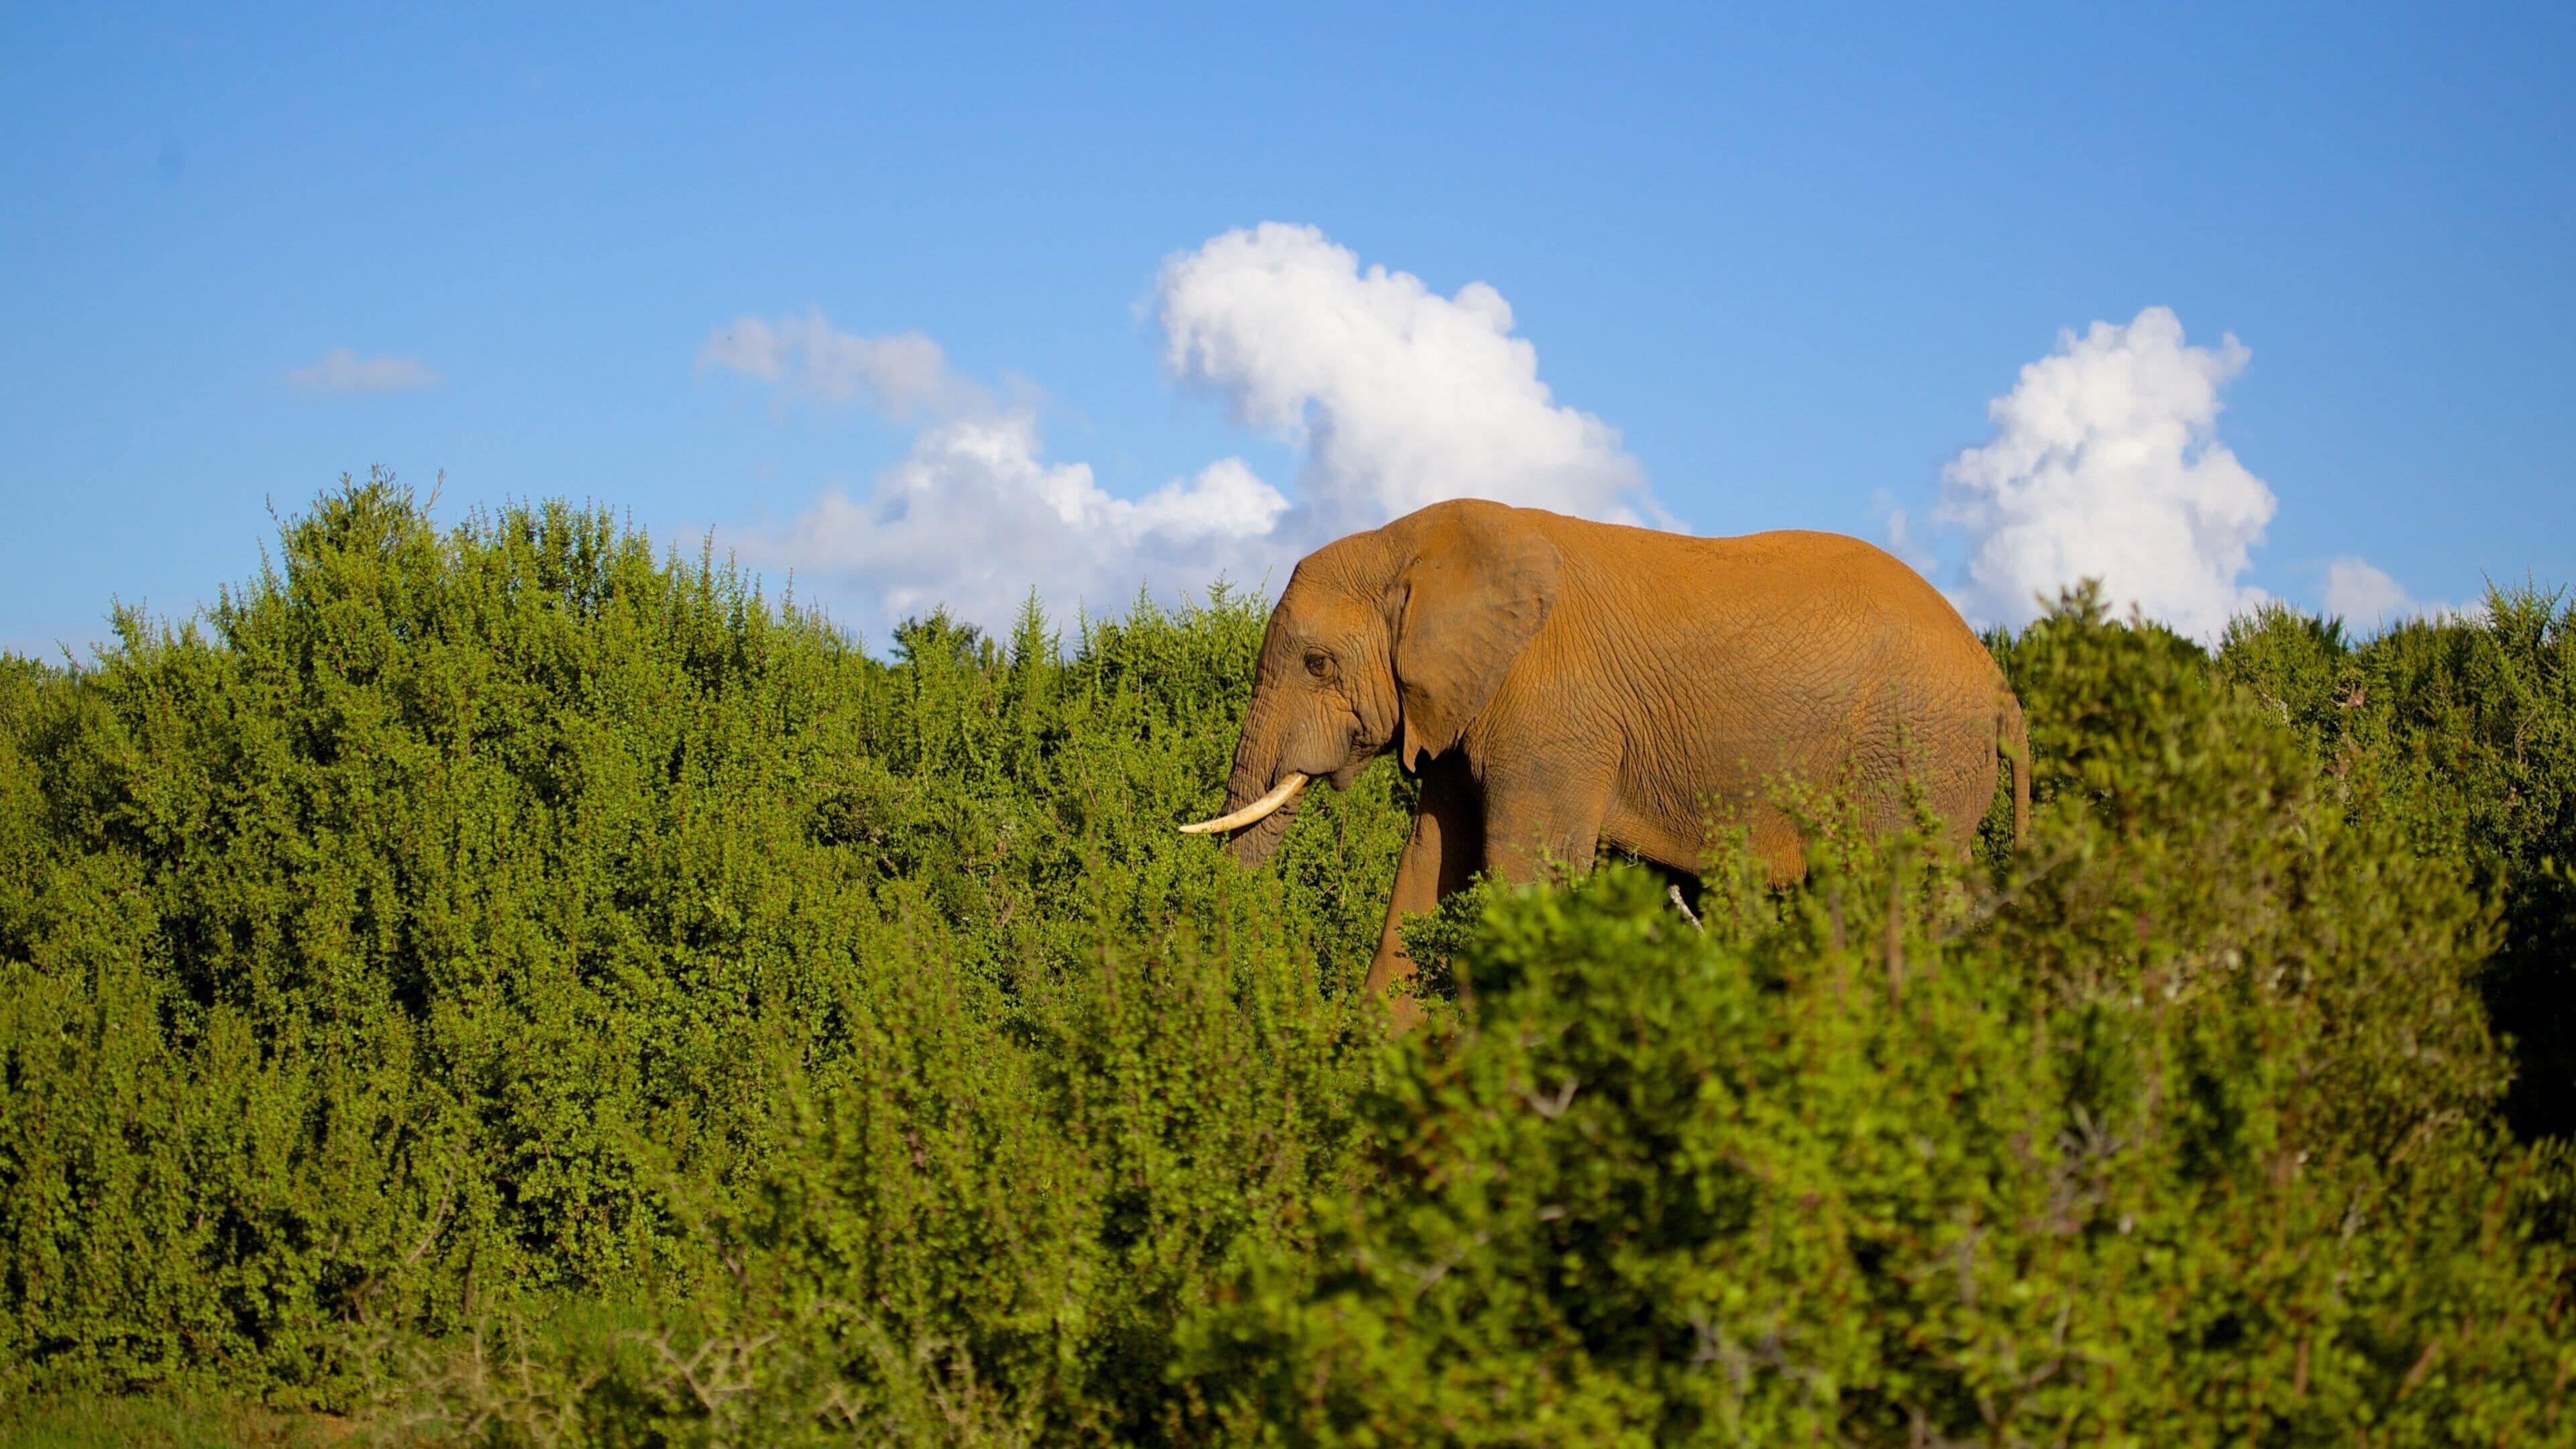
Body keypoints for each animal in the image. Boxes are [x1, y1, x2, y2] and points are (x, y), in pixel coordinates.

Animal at [1180, 498, 2028, 1014]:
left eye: (1317, 664)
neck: (1418, 544)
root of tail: (2000, 686)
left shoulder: (1555, 717)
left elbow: (1526, 876)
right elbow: (1424, 870)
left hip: (1910, 754)